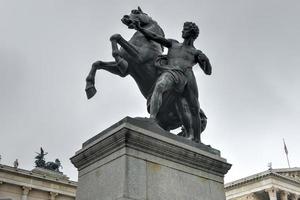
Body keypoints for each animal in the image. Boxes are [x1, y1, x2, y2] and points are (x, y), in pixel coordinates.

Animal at [85, 7, 205, 141]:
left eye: (136, 12)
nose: (125, 18)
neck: (145, 41)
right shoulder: (124, 71)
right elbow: (97, 63)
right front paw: (90, 88)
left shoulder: (138, 57)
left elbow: (117, 36)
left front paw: (119, 59)